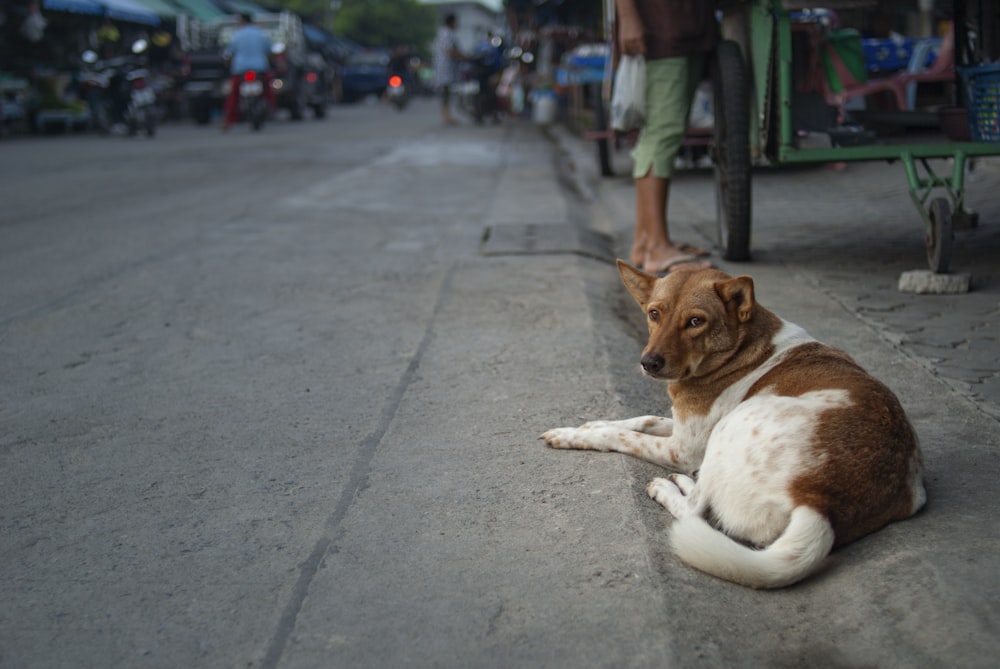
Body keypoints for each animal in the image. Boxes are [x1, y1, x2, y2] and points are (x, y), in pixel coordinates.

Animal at [544, 264, 924, 588]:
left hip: (731, 426)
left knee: (695, 510)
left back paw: (671, 486)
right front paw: (587, 424)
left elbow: (622, 435)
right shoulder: (683, 429)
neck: (742, 348)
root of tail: (819, 499)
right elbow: (644, 419)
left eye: (696, 321)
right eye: (654, 314)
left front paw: (575, 437)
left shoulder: (683, 449)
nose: (648, 363)